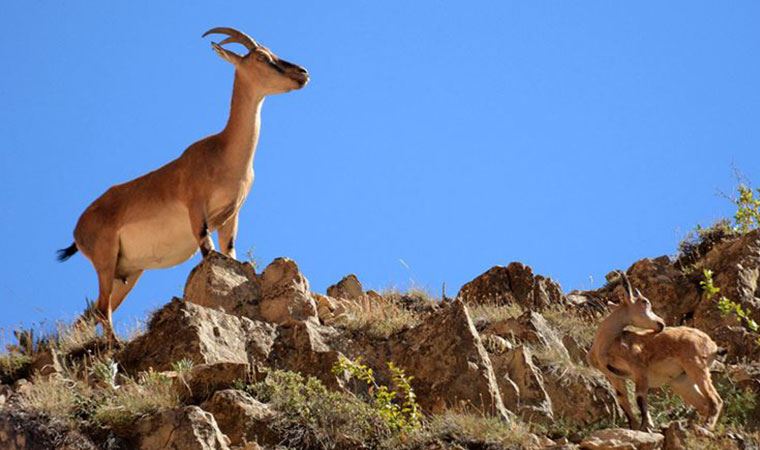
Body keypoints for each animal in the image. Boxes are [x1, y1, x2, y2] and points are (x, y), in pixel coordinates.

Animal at [57, 27, 308, 342]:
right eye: (262, 57)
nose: (302, 73)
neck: (223, 153)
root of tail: (78, 229)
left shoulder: (231, 215)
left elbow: (229, 253)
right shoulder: (196, 208)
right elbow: (207, 251)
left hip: (127, 272)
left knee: (92, 313)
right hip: (105, 260)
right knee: (102, 310)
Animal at [588, 270, 724, 432]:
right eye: (644, 302)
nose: (661, 323)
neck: (606, 344)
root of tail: (713, 345)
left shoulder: (639, 370)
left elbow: (640, 397)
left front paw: (647, 426)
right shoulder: (614, 376)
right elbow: (623, 401)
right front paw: (635, 427)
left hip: (697, 367)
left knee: (715, 399)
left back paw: (705, 427)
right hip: (682, 381)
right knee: (703, 404)